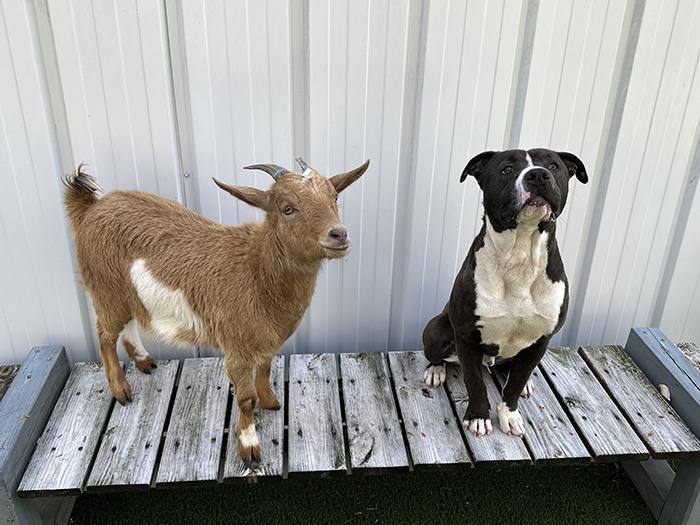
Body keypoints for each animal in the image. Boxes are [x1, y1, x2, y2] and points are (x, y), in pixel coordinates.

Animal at [62, 158, 370, 460]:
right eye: (287, 208)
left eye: (334, 196)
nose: (339, 234)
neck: (257, 271)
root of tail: (90, 208)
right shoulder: (236, 347)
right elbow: (245, 399)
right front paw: (249, 445)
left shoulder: (266, 341)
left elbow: (265, 368)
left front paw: (270, 401)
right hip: (105, 288)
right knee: (105, 334)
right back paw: (121, 389)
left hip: (125, 294)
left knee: (127, 324)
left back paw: (143, 360)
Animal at [424, 148, 588, 438]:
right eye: (507, 170)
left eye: (553, 166)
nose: (538, 175)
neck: (520, 254)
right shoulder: (466, 337)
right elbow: (475, 382)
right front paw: (479, 417)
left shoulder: (541, 340)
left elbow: (515, 383)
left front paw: (508, 414)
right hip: (436, 329)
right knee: (437, 355)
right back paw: (435, 370)